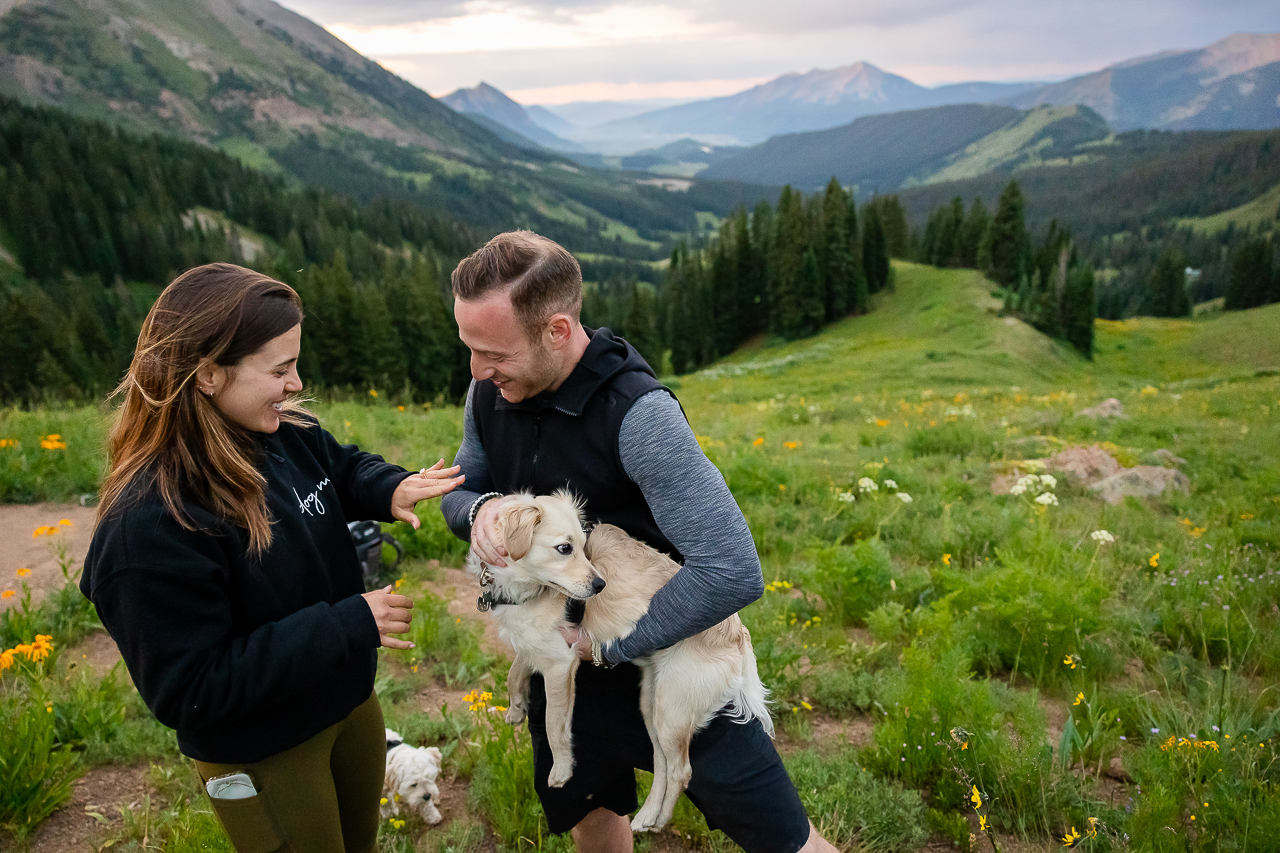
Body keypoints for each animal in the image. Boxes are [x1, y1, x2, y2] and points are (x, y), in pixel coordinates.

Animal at [468, 491, 768, 829]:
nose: (600, 585)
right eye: (565, 548)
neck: (523, 587)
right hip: (652, 705)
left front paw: (561, 770)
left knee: (681, 770)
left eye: (580, 546)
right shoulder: (536, 644)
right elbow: (515, 669)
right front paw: (517, 706)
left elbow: (554, 724)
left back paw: (660, 820)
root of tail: (738, 634)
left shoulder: (561, 663)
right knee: (662, 761)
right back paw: (648, 816)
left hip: (672, 710)